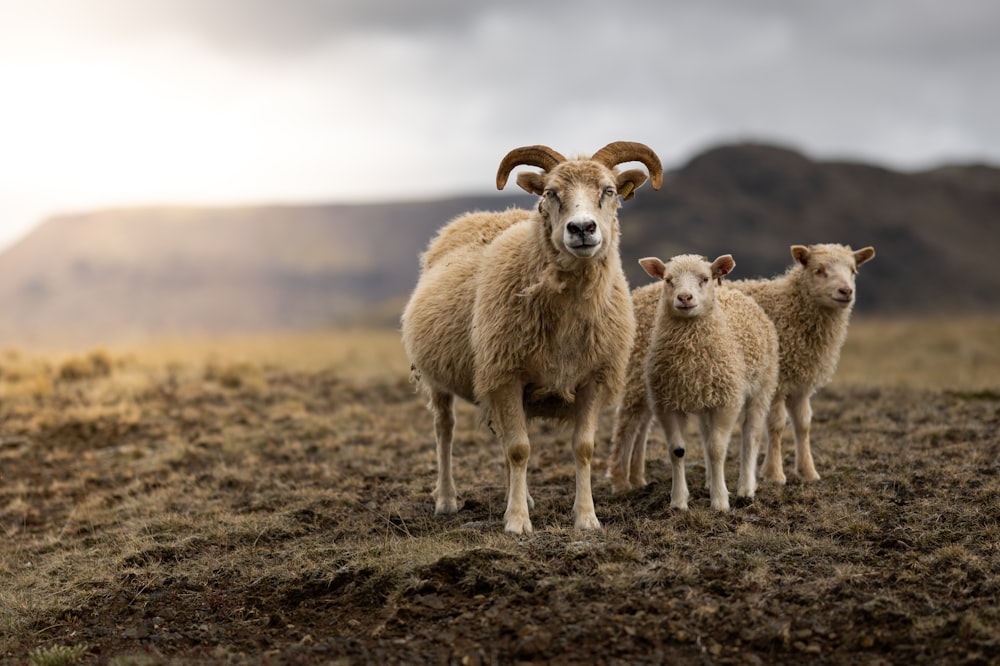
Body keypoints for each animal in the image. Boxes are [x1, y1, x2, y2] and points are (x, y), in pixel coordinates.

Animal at [398, 141, 664, 536]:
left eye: (609, 190)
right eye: (550, 193)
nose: (582, 228)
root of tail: (475, 217)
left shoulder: (591, 379)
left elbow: (583, 448)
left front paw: (586, 518)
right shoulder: (507, 376)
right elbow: (520, 449)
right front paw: (518, 522)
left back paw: (521, 496)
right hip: (440, 379)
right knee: (445, 430)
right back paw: (446, 499)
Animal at [604, 253, 776, 508]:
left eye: (705, 278)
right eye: (668, 279)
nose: (685, 297)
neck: (690, 357)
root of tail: (736, 293)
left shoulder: (726, 401)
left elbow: (717, 450)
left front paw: (720, 501)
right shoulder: (667, 402)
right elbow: (677, 450)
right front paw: (678, 501)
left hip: (762, 387)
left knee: (751, 435)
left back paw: (745, 488)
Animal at [728, 241, 876, 480]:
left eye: (853, 271)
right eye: (819, 270)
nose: (846, 291)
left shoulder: (801, 384)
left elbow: (803, 424)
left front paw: (808, 472)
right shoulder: (778, 381)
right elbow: (776, 425)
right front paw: (774, 474)